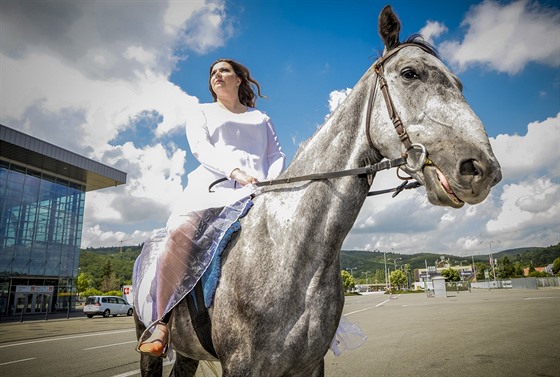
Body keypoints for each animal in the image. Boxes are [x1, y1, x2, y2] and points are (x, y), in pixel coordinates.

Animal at [136, 5, 504, 376]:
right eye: (410, 73)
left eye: (458, 83)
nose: (482, 169)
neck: (290, 253)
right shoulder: (242, 365)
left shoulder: (310, 364)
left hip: (188, 353)